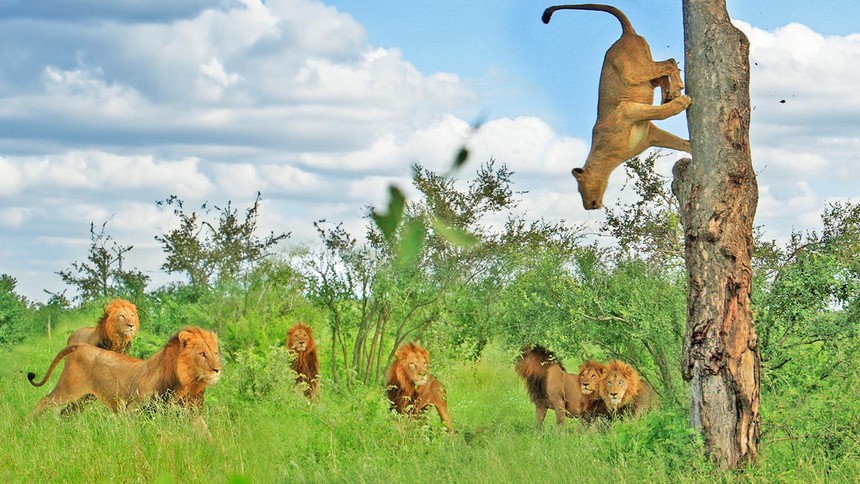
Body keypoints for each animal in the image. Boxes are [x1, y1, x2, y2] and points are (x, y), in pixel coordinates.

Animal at [31, 326, 222, 432]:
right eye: (202, 354)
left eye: (215, 353)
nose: (217, 370)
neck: (185, 384)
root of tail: (81, 345)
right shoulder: (134, 408)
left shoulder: (190, 412)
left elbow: (205, 432)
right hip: (67, 389)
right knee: (44, 401)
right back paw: (29, 427)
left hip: (84, 398)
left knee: (65, 413)